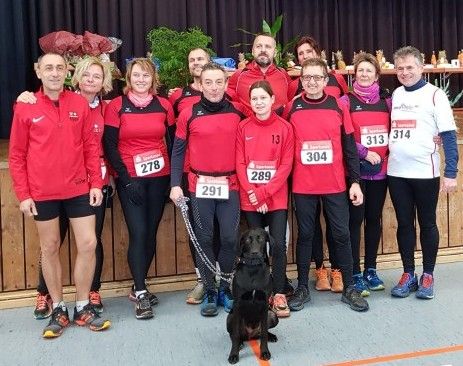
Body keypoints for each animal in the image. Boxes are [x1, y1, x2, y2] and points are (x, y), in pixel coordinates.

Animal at [226, 229, 278, 364]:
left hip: (272, 315)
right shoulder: (237, 304)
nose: (255, 253)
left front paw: (265, 352)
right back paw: (239, 343)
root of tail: (251, 335)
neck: (253, 268)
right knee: (234, 335)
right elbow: (235, 335)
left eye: (261, 239)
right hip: (231, 317)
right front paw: (233, 355)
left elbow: (264, 334)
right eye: (247, 240)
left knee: (263, 332)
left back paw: (271, 336)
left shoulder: (265, 304)